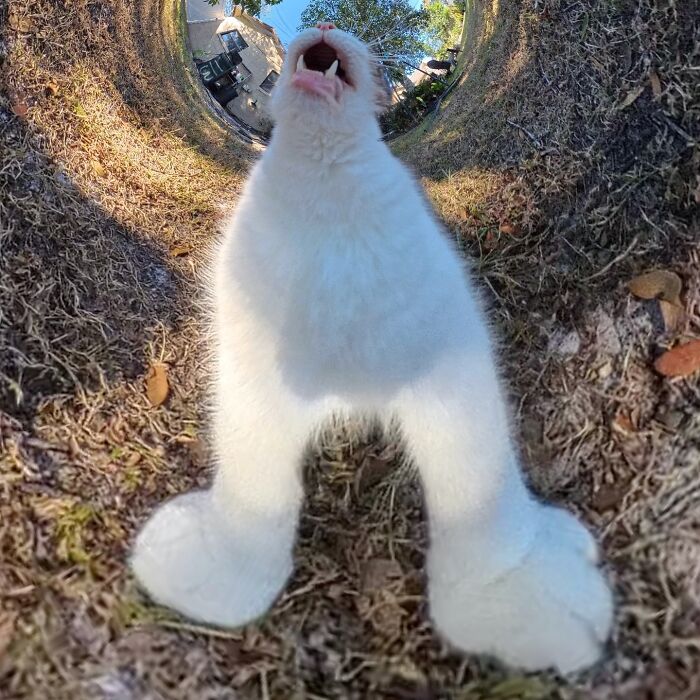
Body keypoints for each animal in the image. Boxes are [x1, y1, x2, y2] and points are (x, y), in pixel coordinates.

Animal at [133, 26, 612, 672]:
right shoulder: (253, 379)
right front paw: (219, 570)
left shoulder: (448, 358)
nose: (325, 28)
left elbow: (480, 489)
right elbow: (253, 490)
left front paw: (513, 597)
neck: (324, 182)